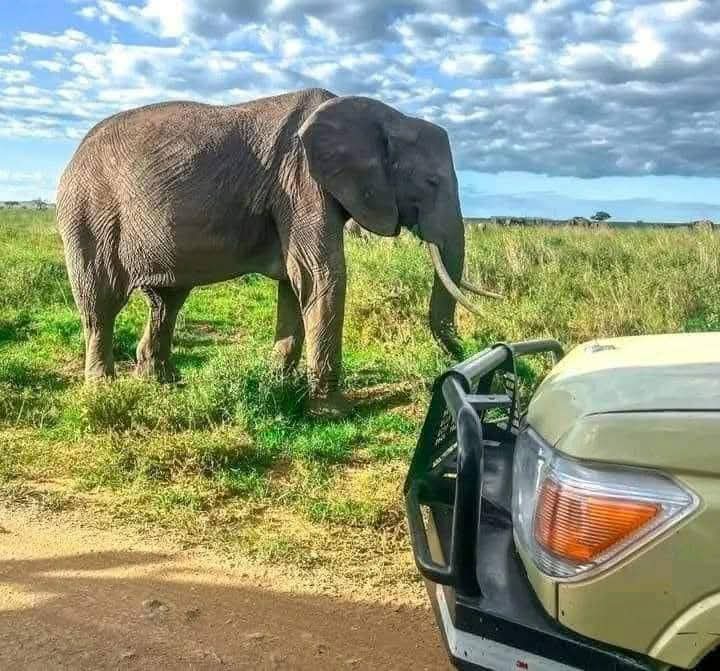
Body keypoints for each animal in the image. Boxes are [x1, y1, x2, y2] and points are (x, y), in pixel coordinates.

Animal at [56, 88, 499, 416]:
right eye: (430, 182)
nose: (464, 360)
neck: (385, 115)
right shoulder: (301, 181)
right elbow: (322, 274)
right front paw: (333, 411)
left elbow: (295, 280)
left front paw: (277, 385)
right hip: (88, 214)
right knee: (101, 302)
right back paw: (103, 391)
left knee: (166, 300)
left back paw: (163, 383)